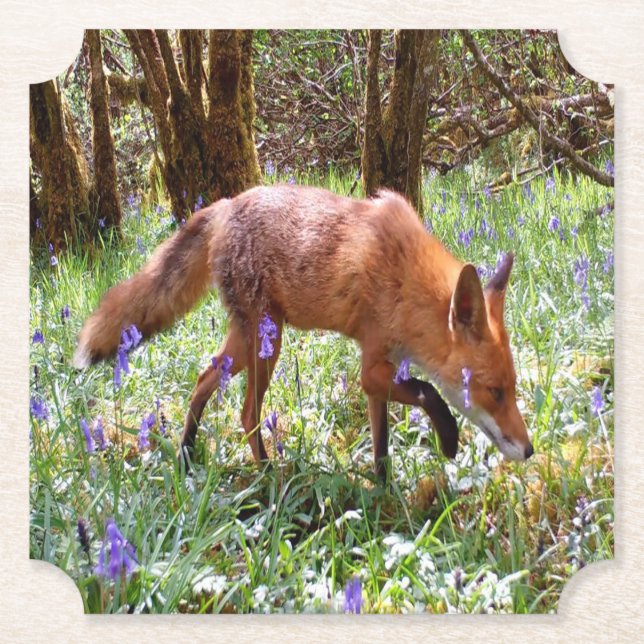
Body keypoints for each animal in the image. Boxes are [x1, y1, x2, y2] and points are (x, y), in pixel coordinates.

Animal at [74, 184, 533, 478]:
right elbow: (430, 392)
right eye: (495, 392)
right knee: (247, 413)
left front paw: (383, 496)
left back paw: (187, 456)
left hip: (248, 341)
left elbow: (382, 448)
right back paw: (267, 476)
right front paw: (449, 439)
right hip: (266, 343)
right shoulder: (373, 366)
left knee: (204, 379)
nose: (529, 450)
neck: (405, 278)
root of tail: (225, 204)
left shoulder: (380, 373)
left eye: (513, 388)